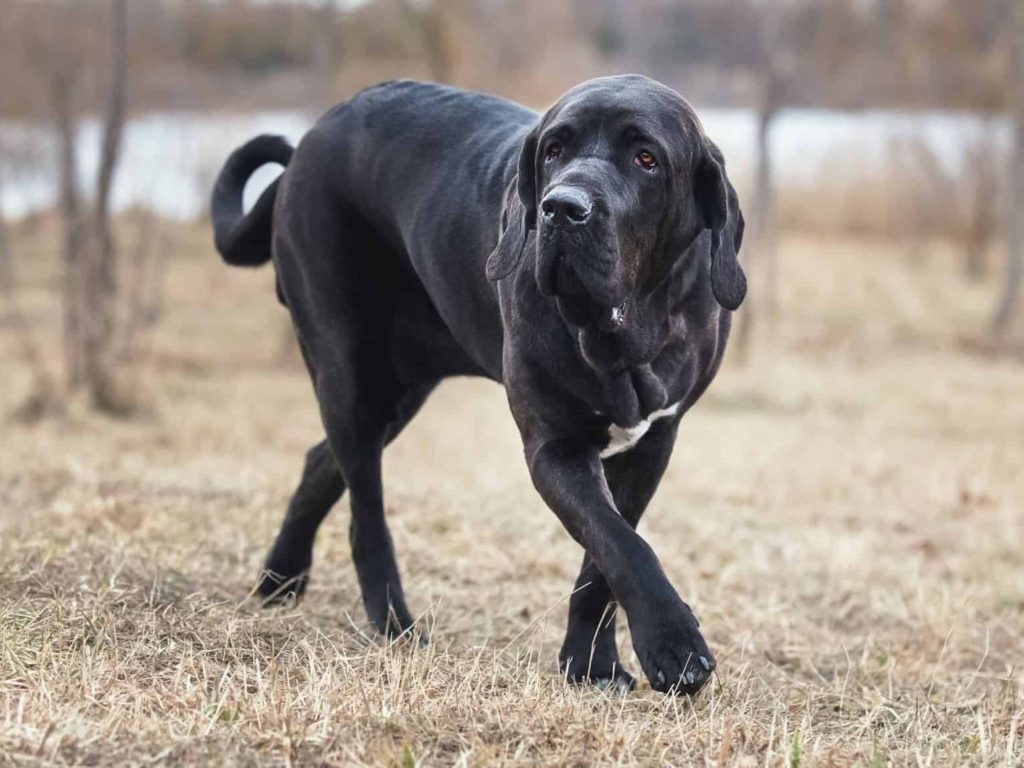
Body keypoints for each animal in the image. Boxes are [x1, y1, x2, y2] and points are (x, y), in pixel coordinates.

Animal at [211, 78, 749, 696]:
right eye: (554, 151)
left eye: (646, 159)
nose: (562, 208)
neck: (623, 333)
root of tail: (307, 142)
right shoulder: (555, 447)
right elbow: (620, 543)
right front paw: (674, 645)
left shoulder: (653, 443)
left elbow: (603, 559)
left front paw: (591, 665)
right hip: (348, 369)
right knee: (366, 513)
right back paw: (395, 625)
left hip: (399, 389)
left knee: (322, 461)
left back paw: (281, 578)